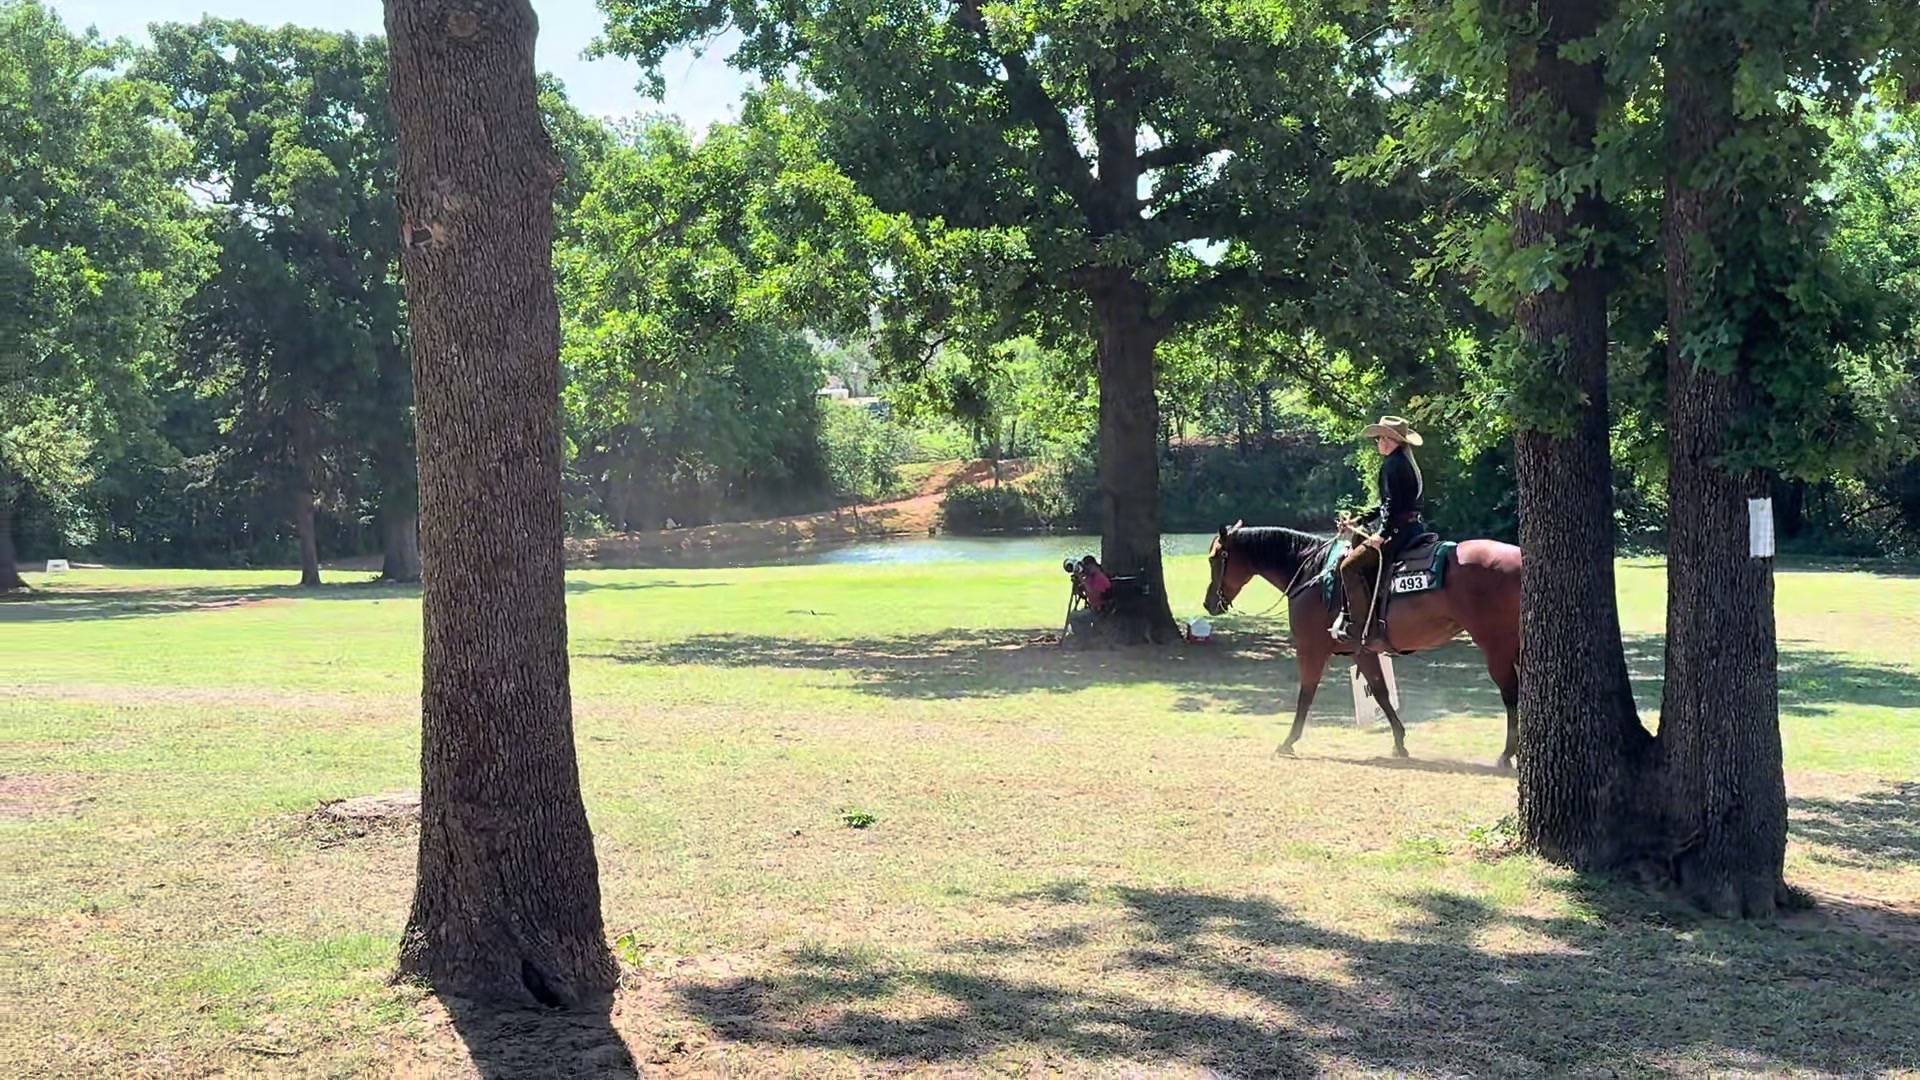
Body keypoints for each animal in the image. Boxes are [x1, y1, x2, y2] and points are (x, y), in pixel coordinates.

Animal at [1202, 522, 1524, 767]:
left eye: (1215, 558)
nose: (1208, 603)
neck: (1312, 574)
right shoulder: (1363, 651)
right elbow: (1380, 693)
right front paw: (1399, 743)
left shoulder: (1311, 650)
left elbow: (1306, 695)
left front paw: (1288, 741)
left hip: (1496, 645)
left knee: (1511, 694)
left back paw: (1506, 754)